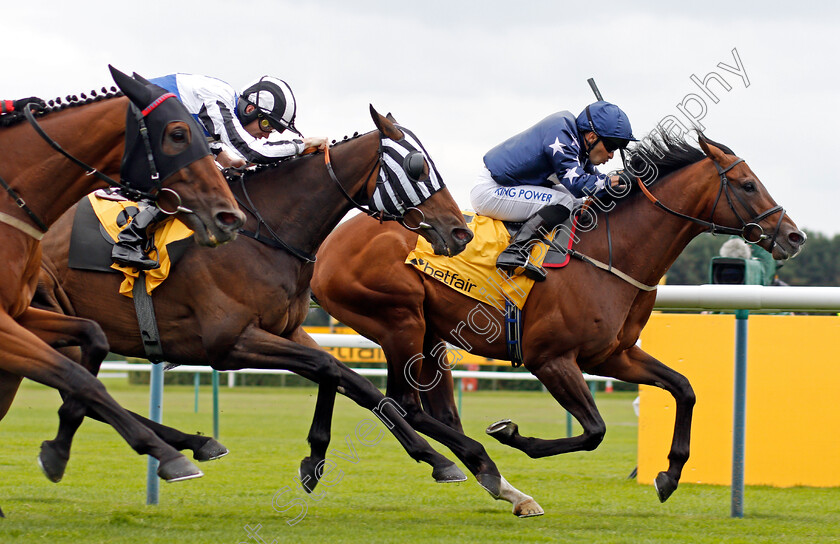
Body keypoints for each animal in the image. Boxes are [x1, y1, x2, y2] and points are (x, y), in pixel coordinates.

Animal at [0, 65, 244, 516]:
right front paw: (169, 454)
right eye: (178, 134)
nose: (229, 216)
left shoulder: (21, 313)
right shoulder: (0, 325)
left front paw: (59, 444)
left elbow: (91, 346)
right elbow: (77, 375)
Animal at [32, 107, 476, 498]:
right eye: (419, 167)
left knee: (79, 387)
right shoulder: (228, 342)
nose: (461, 232)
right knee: (79, 387)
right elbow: (329, 367)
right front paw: (316, 456)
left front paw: (437, 459)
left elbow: (356, 383)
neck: (264, 231)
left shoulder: (290, 331)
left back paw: (193, 443)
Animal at [308, 132, 808, 516]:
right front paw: (512, 435)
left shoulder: (613, 355)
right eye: (747, 185)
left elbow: (684, 388)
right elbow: (594, 432)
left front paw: (669, 474)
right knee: (399, 403)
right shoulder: (551, 359)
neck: (610, 254)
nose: (794, 235)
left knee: (421, 405)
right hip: (399, 321)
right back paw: (472, 467)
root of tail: (327, 246)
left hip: (431, 335)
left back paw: (497, 483)